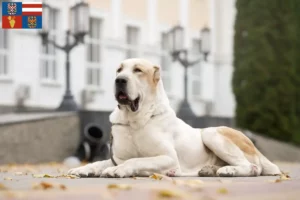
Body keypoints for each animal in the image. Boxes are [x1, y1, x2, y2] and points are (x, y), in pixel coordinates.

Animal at [68, 58, 282, 178]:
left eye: (138, 70)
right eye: (119, 70)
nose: (119, 80)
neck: (135, 119)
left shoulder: (168, 158)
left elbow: (136, 161)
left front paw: (117, 171)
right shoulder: (118, 158)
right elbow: (101, 162)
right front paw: (83, 169)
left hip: (212, 133)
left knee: (252, 166)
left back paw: (229, 171)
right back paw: (209, 170)